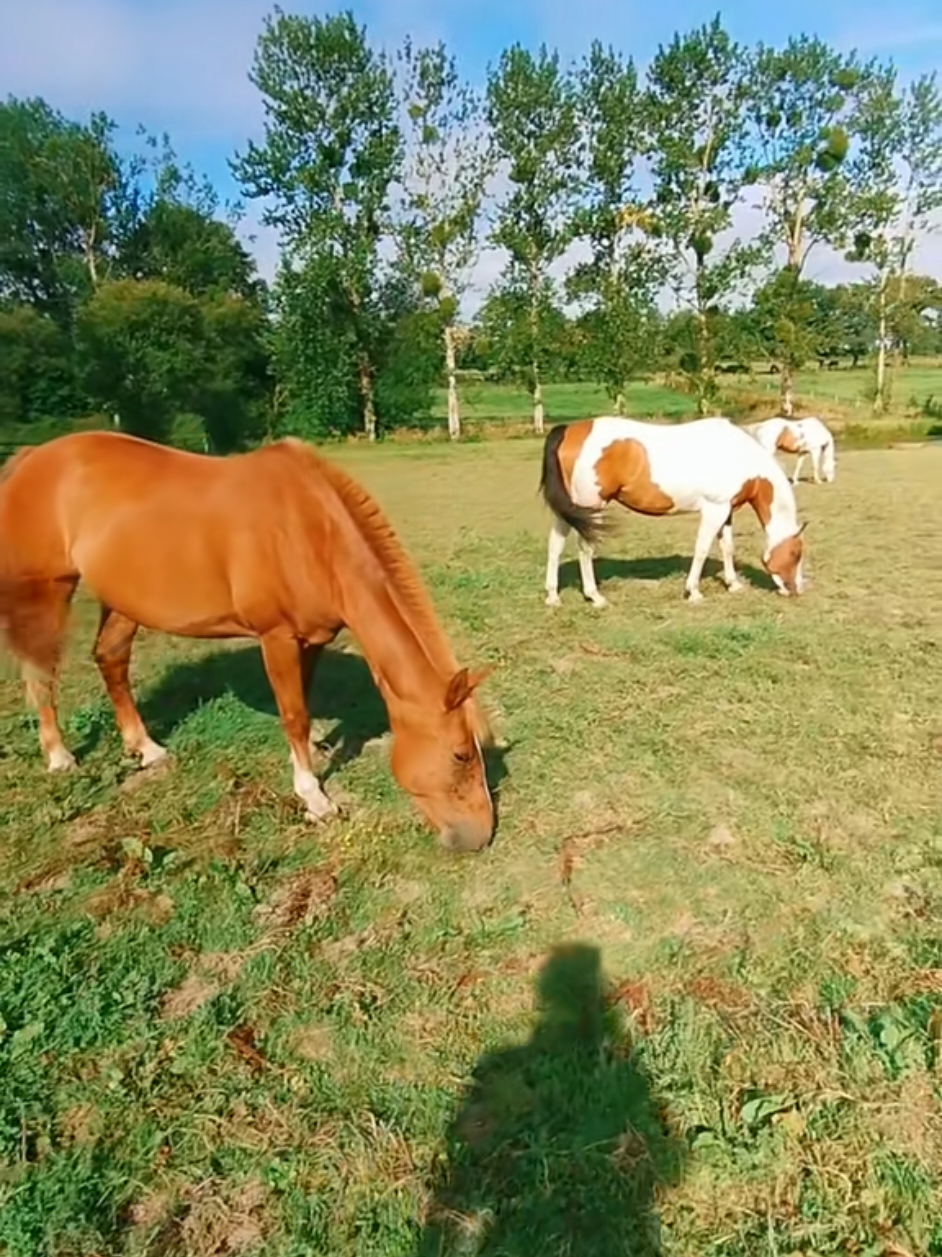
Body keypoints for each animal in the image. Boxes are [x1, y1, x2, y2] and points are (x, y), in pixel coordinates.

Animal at [0, 431, 496, 852]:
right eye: (460, 755)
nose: (480, 836)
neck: (309, 532)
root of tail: (31, 456)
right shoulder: (275, 637)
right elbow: (294, 715)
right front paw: (314, 797)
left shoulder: (311, 638)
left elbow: (303, 703)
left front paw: (315, 754)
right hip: (47, 592)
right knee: (41, 673)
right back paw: (59, 756)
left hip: (122, 600)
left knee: (111, 660)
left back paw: (147, 749)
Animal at [540, 415, 807, 607]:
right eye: (795, 554)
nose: (796, 589)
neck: (741, 457)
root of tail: (567, 431)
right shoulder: (714, 510)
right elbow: (702, 549)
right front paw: (694, 592)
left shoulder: (726, 511)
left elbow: (727, 547)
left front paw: (733, 584)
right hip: (592, 509)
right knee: (585, 550)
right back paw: (595, 597)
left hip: (571, 512)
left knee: (555, 546)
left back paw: (553, 596)